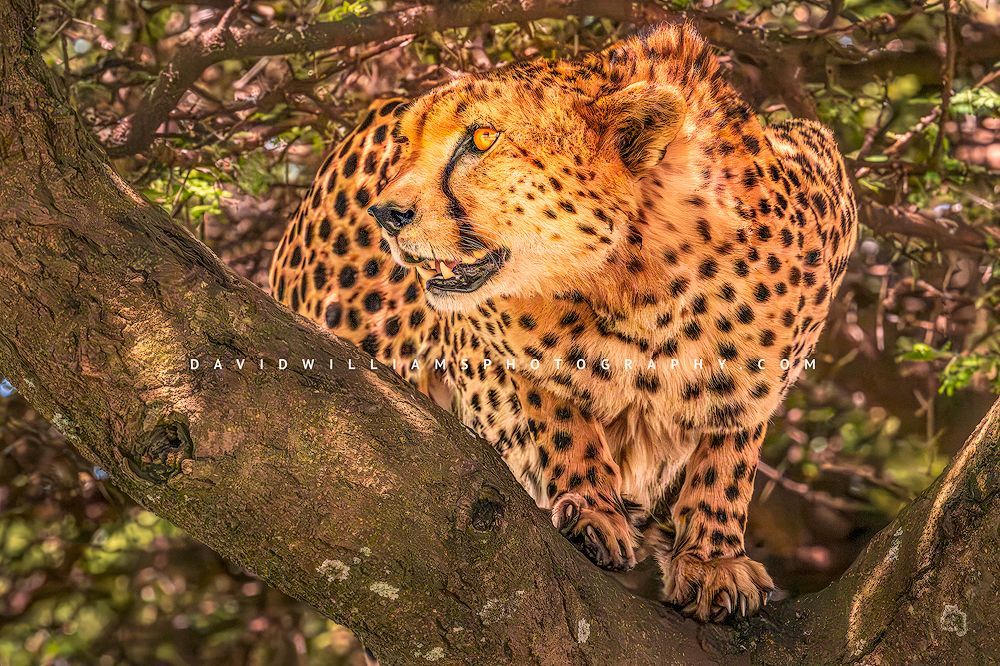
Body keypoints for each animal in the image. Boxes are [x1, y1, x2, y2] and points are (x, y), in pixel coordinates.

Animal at [269, 22, 857, 622]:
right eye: (407, 144)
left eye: (483, 139)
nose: (386, 213)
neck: (644, 285)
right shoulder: (505, 343)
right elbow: (556, 410)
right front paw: (593, 509)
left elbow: (729, 452)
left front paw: (714, 559)